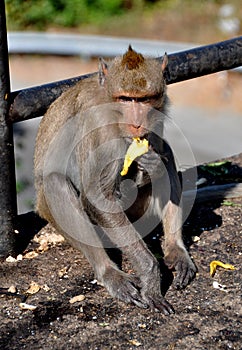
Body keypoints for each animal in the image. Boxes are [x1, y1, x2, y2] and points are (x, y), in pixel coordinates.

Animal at [34, 45, 197, 316]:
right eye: (126, 99)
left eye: (143, 99)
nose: (137, 122)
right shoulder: (100, 126)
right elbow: (96, 196)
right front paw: (151, 277)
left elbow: (161, 153)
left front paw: (151, 166)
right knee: (55, 182)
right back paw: (109, 272)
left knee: (167, 154)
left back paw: (175, 247)